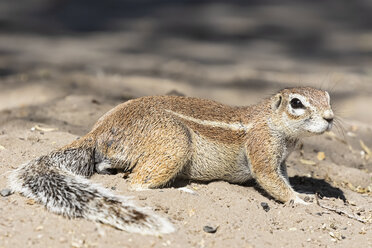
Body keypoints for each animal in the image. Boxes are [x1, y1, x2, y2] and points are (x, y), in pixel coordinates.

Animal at [8, 86, 334, 234]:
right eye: (296, 103)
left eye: (329, 98)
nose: (331, 118)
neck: (270, 121)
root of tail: (98, 129)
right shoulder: (262, 148)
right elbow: (269, 179)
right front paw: (299, 201)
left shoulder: (282, 159)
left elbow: (283, 177)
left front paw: (302, 193)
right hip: (175, 141)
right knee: (135, 183)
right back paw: (182, 189)